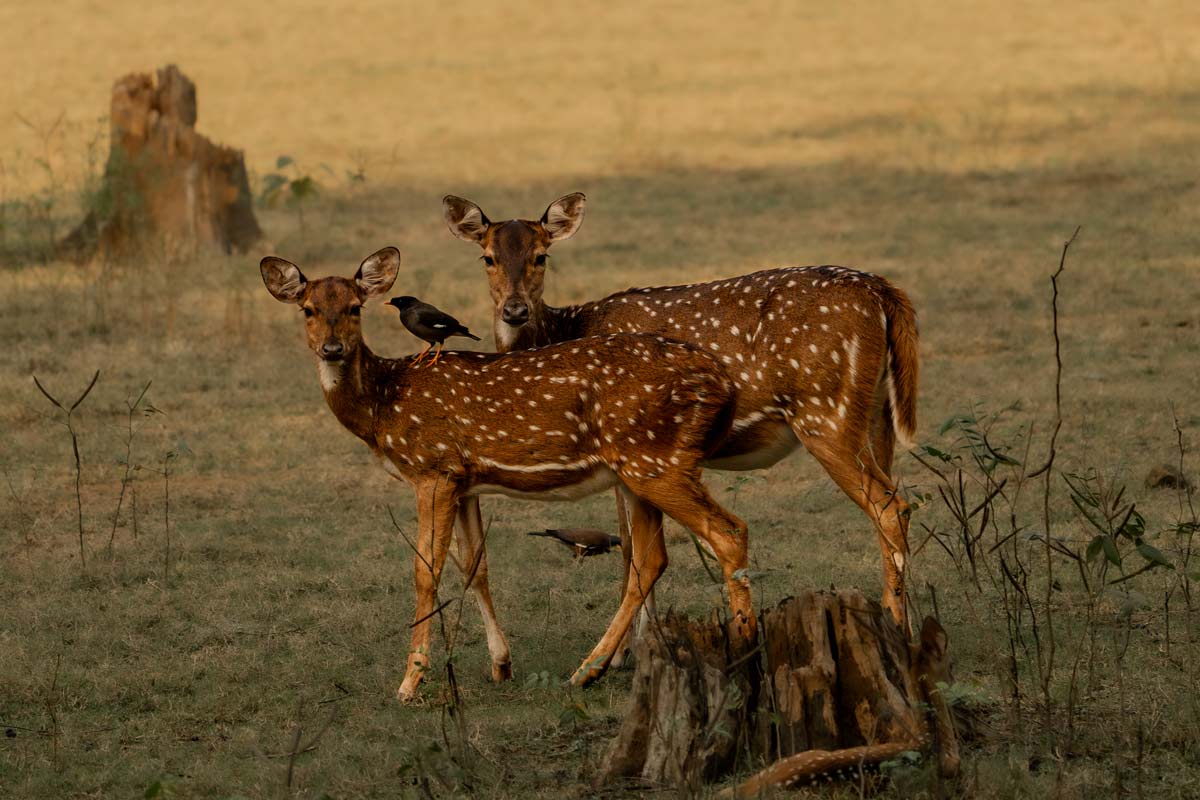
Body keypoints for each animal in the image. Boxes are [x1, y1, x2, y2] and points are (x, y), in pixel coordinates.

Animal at [261, 245, 753, 700]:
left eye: (354, 307)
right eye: (308, 309)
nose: (332, 349)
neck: (383, 406)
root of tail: (721, 382)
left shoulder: (433, 468)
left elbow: (425, 569)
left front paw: (410, 682)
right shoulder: (464, 480)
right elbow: (475, 565)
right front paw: (501, 664)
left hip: (656, 460)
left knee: (729, 531)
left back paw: (743, 648)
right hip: (637, 468)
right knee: (651, 559)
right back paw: (588, 670)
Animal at [446, 189, 921, 638]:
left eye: (541, 255)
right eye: (487, 257)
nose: (514, 310)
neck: (564, 329)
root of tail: (883, 291)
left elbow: (630, 550)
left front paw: (633, 645)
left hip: (825, 412)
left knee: (889, 506)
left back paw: (898, 622)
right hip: (876, 415)